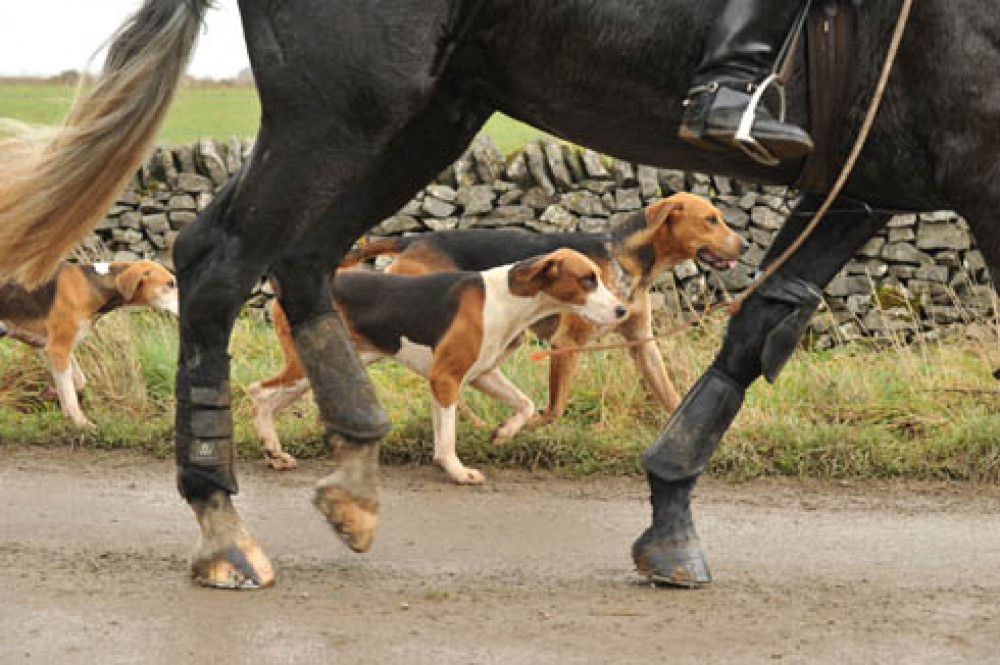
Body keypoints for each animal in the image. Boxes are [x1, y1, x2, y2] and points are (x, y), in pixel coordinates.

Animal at [0, 0, 992, 584]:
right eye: (706, 217)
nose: (735, 239)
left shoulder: (864, 183)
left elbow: (747, 339)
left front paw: (669, 514)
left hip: (428, 109)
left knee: (299, 258)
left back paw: (351, 467)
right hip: (342, 104)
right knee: (221, 260)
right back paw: (222, 522)